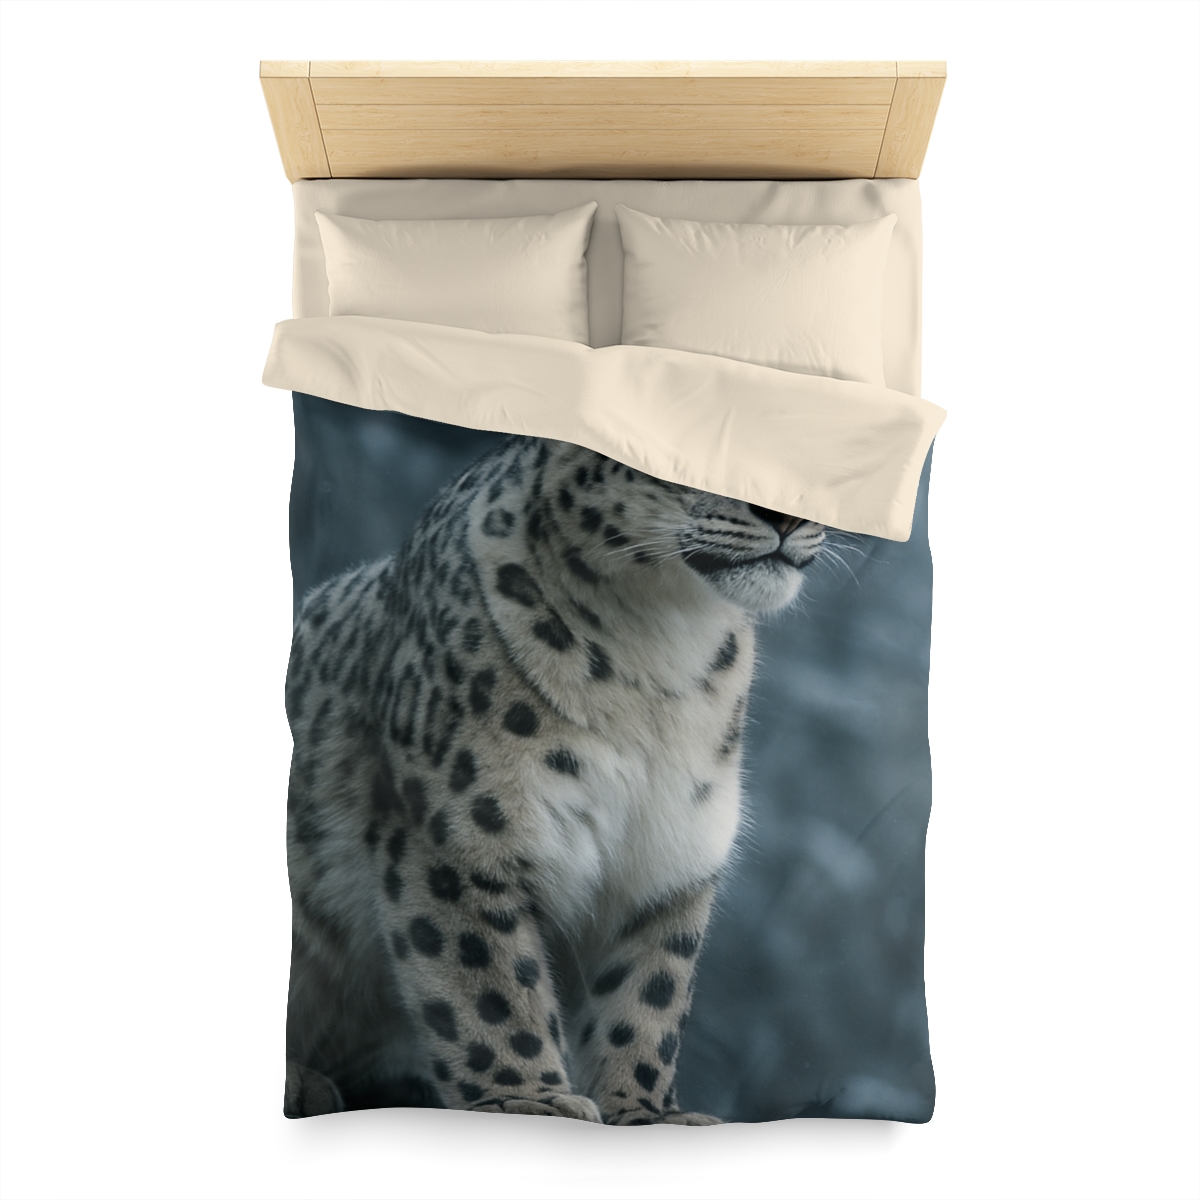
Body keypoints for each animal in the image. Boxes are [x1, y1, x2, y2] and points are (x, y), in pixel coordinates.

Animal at [283, 435, 825, 1125]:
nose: (784, 515)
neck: (666, 651)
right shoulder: (461, 833)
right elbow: (488, 981)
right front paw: (529, 1100)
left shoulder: (671, 861)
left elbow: (649, 994)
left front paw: (648, 1113)